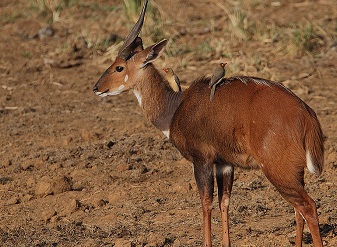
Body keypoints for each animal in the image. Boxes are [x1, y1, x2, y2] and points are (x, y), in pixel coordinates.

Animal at [92, 0, 322, 246]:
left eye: (118, 67)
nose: (96, 88)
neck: (174, 108)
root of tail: (307, 115)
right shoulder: (224, 163)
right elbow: (224, 202)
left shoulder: (201, 159)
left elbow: (205, 202)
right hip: (294, 172)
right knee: (298, 209)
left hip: (278, 170)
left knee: (308, 206)